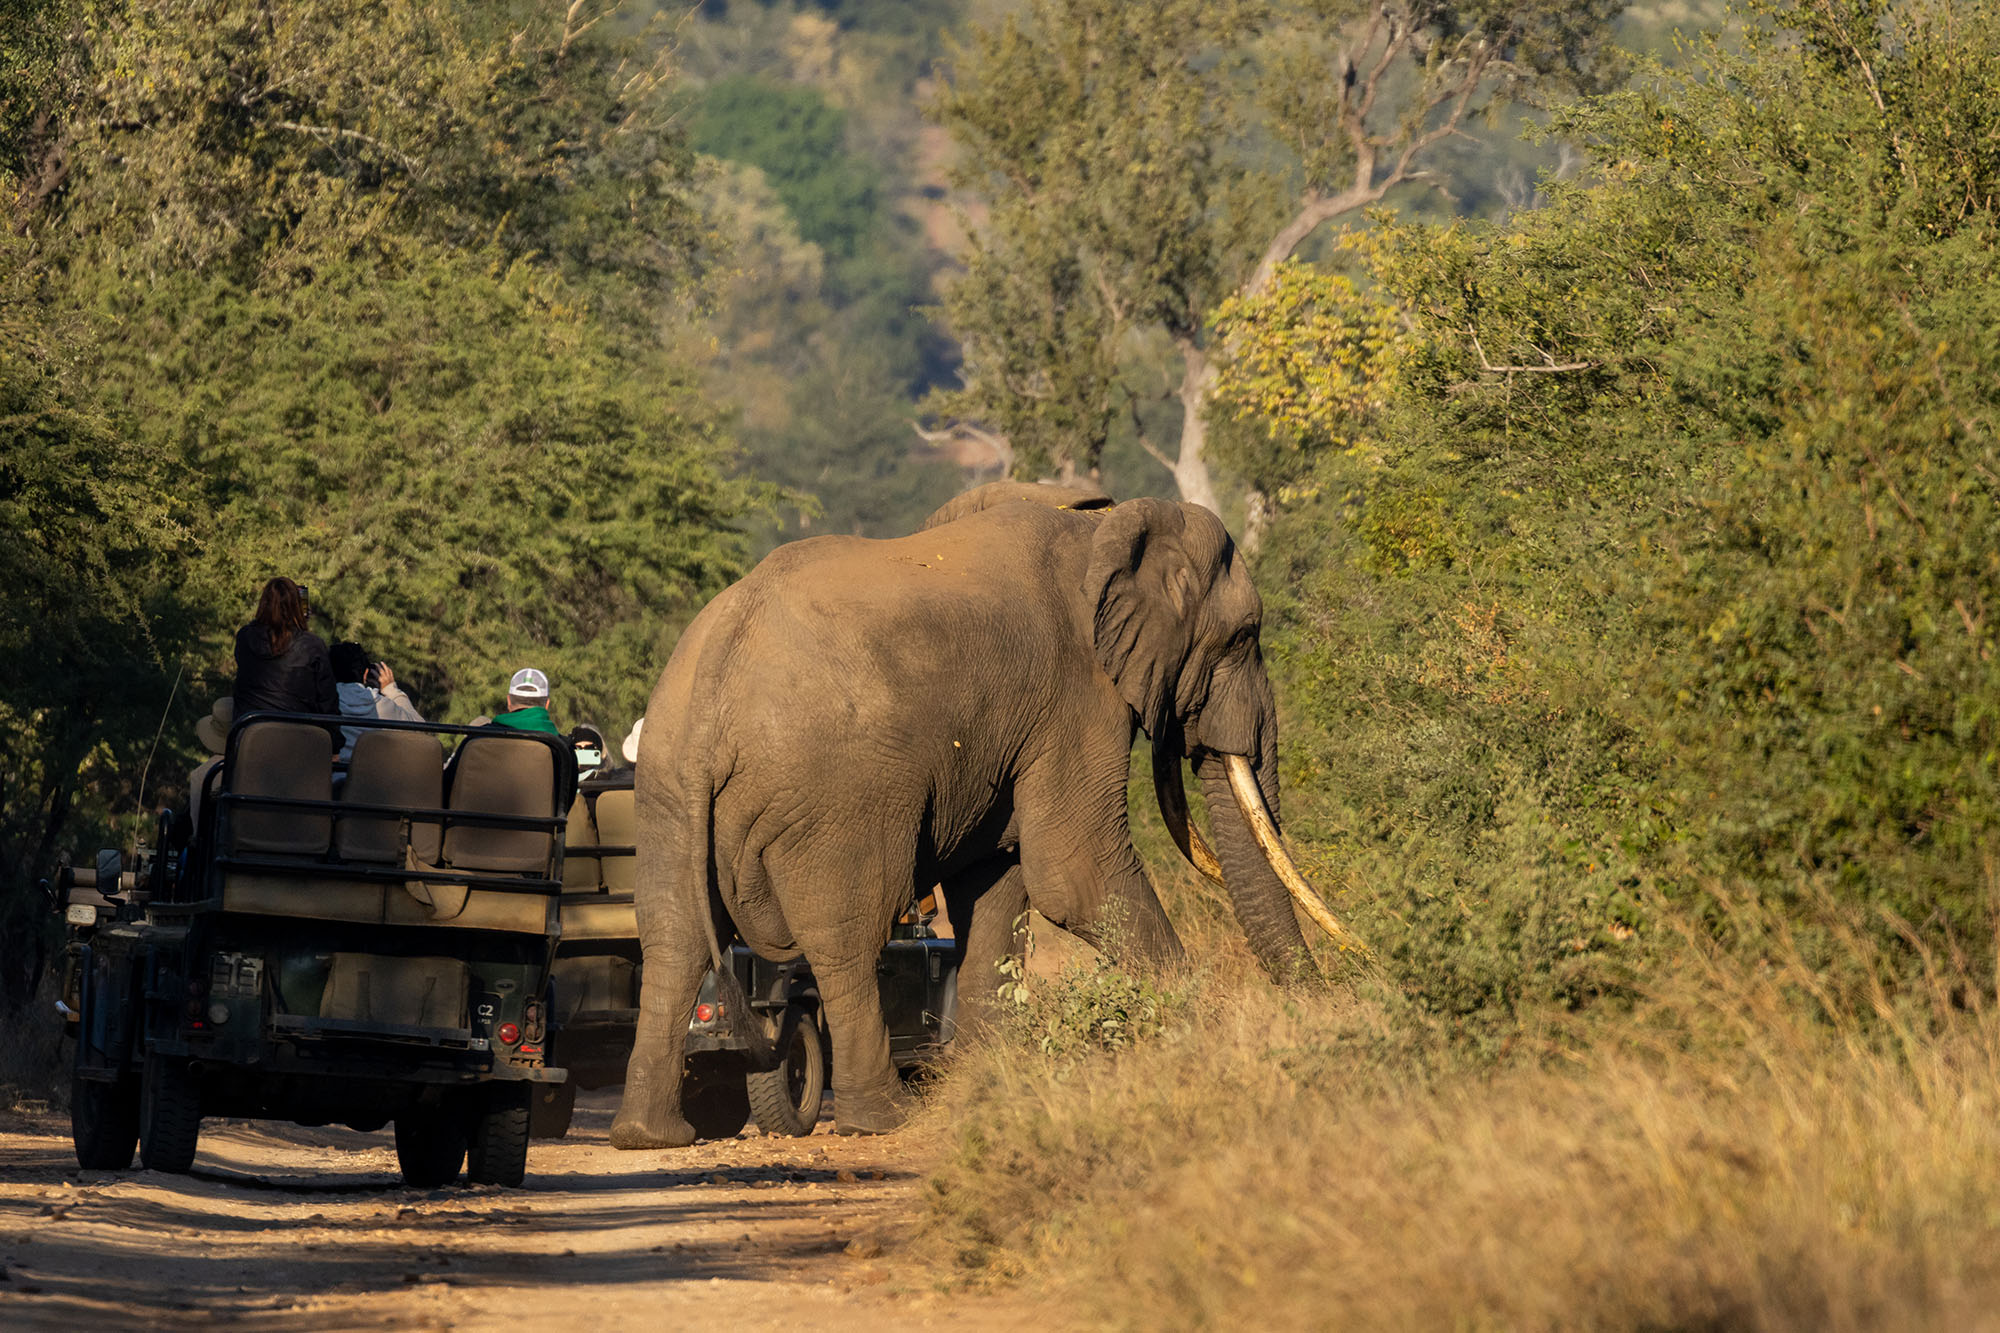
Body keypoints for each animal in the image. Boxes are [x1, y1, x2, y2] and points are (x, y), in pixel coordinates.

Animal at [608, 481, 1353, 1148]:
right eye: (1244, 637)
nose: (1318, 1003)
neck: (1104, 523)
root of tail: (715, 677)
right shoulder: (1077, 692)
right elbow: (1072, 870)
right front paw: (1197, 1033)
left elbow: (996, 880)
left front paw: (989, 1084)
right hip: (835, 795)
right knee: (845, 936)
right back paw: (883, 1120)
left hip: (666, 787)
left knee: (672, 935)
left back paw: (650, 1135)